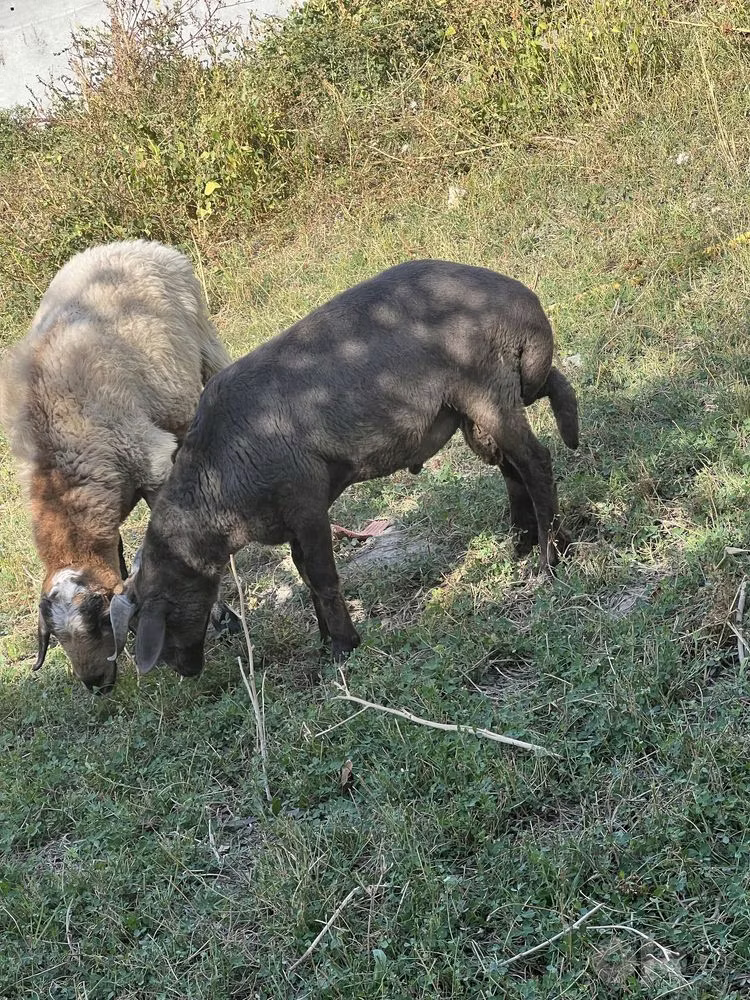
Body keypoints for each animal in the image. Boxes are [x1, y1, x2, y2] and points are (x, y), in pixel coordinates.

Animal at [0, 239, 234, 692]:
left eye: (99, 623)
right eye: (55, 637)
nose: (95, 685)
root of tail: (123, 244)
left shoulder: (152, 462)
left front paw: (222, 616)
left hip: (203, 343)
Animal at [109, 258, 579, 679]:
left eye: (162, 615)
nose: (186, 671)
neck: (219, 485)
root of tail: (522, 299)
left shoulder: (306, 504)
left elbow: (322, 578)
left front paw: (343, 647)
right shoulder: (290, 521)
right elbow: (304, 576)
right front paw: (324, 641)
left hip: (487, 388)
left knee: (536, 462)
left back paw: (550, 558)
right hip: (477, 408)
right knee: (514, 462)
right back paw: (522, 541)